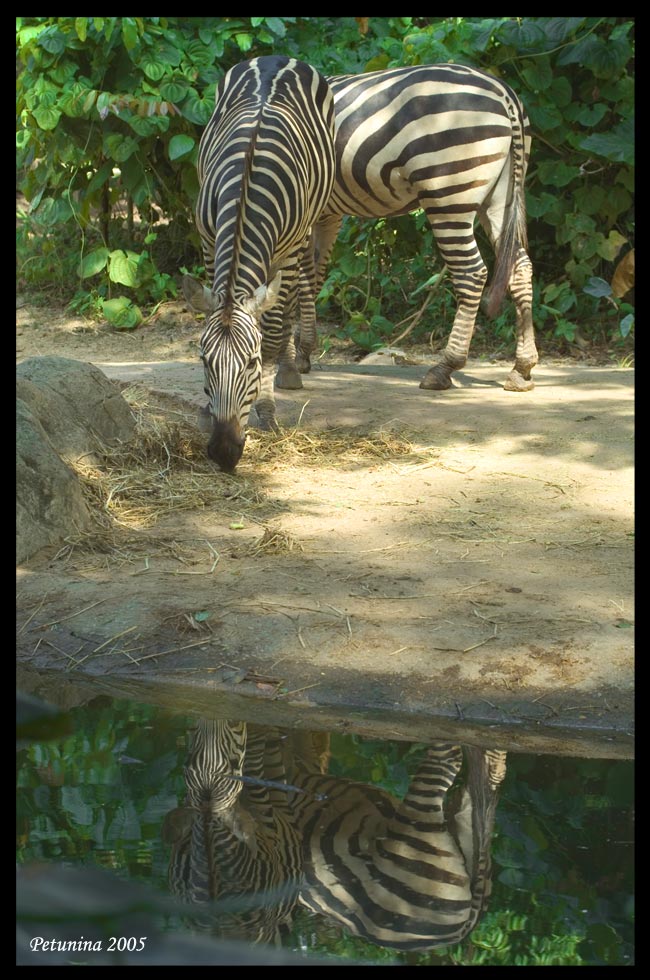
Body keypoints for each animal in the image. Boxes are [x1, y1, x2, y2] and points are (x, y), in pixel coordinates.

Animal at [181, 55, 334, 472]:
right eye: (204, 361)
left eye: (251, 363)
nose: (223, 452)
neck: (247, 188)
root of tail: (275, 59)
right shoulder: (207, 239)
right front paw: (206, 410)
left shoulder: (287, 248)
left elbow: (276, 330)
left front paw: (266, 409)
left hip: (305, 232)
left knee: (294, 294)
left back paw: (289, 368)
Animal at [284, 62, 536, 394]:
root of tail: (503, 92)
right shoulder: (327, 215)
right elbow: (311, 276)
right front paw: (302, 350)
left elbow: (292, 278)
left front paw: (288, 354)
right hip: (500, 198)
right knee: (520, 267)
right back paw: (522, 369)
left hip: (448, 193)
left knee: (471, 273)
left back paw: (444, 368)